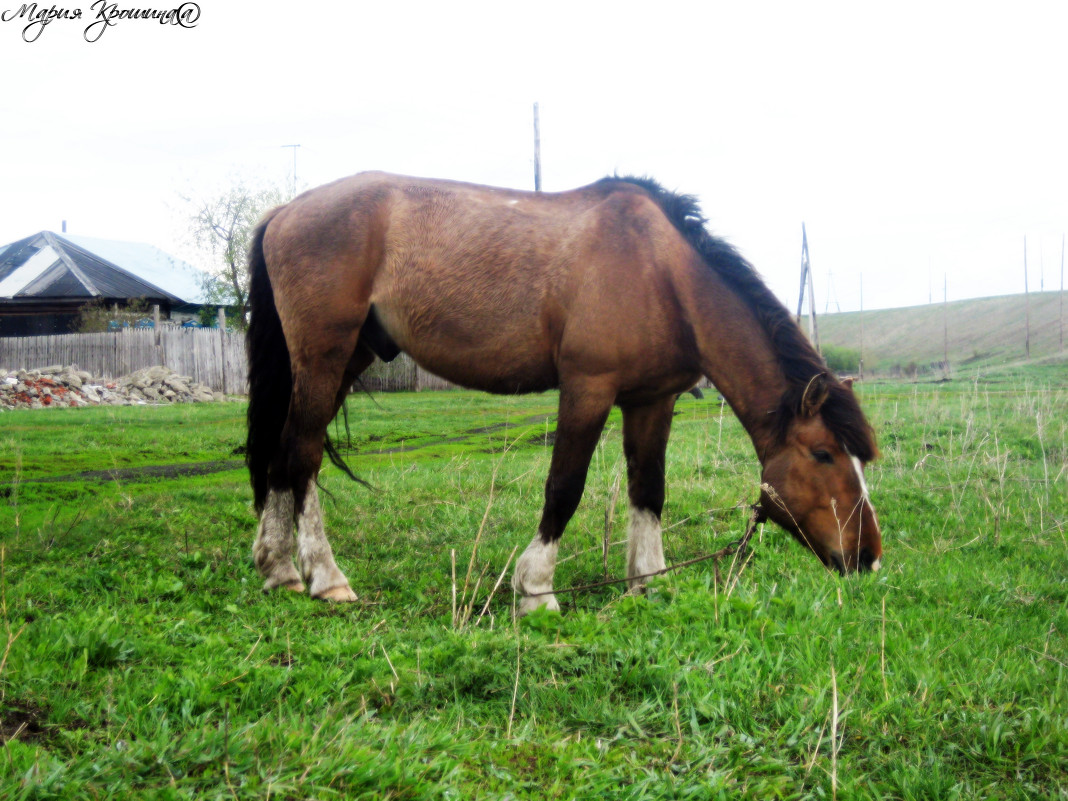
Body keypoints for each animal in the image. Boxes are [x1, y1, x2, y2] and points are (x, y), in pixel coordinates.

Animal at [245, 173, 880, 610]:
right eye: (824, 454)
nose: (867, 557)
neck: (660, 273)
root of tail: (285, 211)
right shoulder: (588, 388)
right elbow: (564, 486)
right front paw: (536, 589)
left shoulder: (652, 400)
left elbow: (649, 489)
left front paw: (647, 582)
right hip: (323, 358)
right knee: (301, 456)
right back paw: (326, 578)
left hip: (345, 360)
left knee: (286, 457)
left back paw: (278, 568)